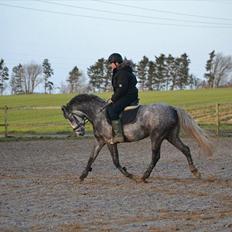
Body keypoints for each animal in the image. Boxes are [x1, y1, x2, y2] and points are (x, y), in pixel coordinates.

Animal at [62, 93, 212, 182]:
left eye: (70, 117)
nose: (79, 132)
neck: (98, 114)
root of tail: (173, 108)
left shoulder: (110, 142)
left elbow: (116, 162)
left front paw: (130, 175)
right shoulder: (100, 141)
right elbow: (91, 157)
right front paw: (82, 175)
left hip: (157, 136)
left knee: (156, 156)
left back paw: (143, 176)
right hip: (171, 136)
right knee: (185, 149)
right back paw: (195, 172)